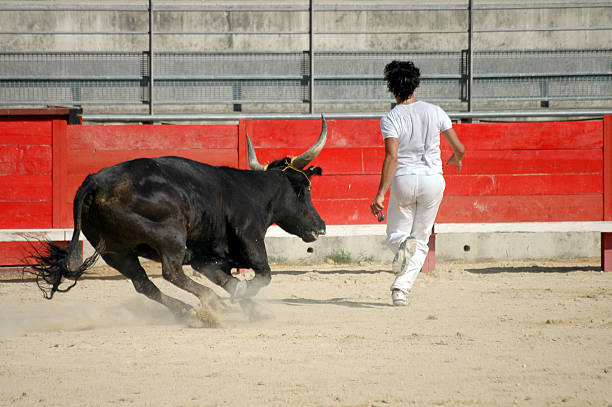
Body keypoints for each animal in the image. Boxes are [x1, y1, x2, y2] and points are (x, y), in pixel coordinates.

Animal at [28, 117, 328, 326]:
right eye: (306, 189)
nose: (321, 226)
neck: (252, 192)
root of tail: (94, 181)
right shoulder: (251, 241)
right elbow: (262, 276)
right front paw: (242, 298)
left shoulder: (206, 258)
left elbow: (229, 280)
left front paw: (255, 309)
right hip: (169, 235)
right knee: (171, 272)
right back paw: (211, 303)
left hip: (115, 250)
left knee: (143, 283)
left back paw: (190, 312)